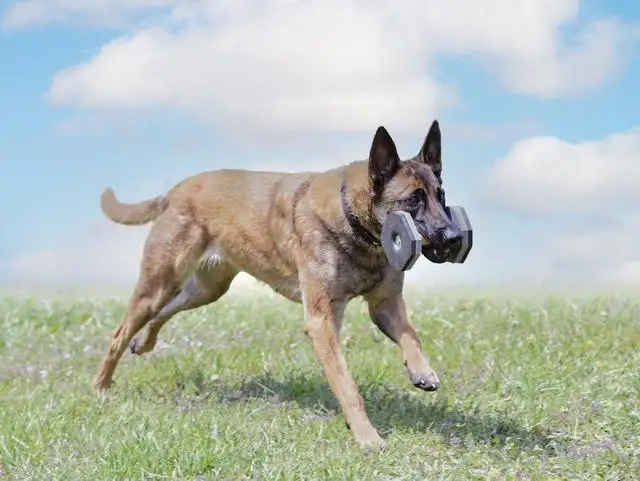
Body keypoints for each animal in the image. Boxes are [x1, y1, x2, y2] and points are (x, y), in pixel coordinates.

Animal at [92, 120, 462, 450]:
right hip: (159, 283)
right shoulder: (321, 321)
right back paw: (100, 389)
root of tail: (175, 190)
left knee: (162, 313)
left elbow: (410, 337)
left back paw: (143, 342)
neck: (355, 221)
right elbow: (347, 385)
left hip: (205, 290)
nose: (454, 236)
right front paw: (367, 437)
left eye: (441, 195)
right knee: (119, 334)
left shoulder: (384, 305)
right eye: (413, 200)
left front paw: (422, 371)